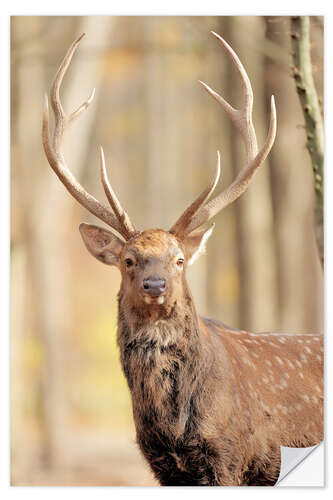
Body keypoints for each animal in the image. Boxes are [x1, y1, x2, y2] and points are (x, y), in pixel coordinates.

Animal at [42, 31, 324, 484]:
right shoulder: (161, 464)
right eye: (128, 259)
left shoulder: (231, 456)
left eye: (178, 259)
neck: (174, 428)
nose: (155, 284)